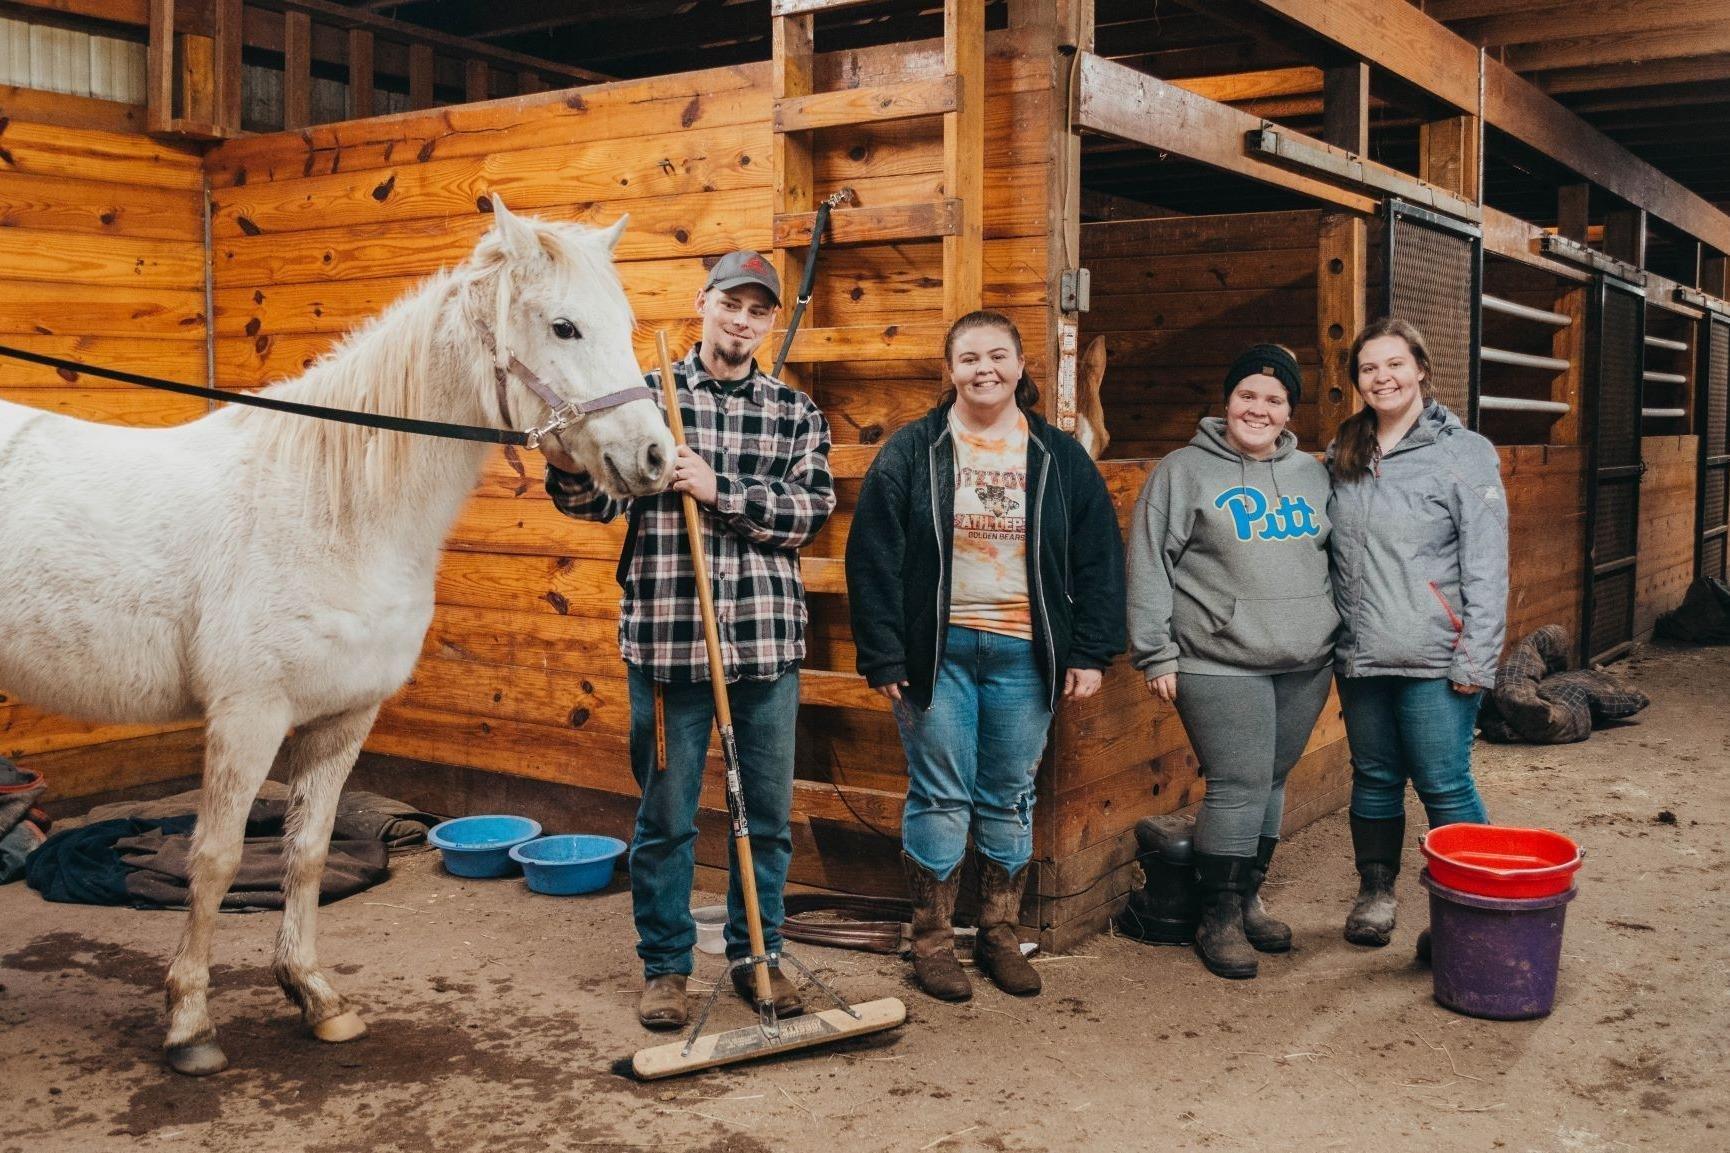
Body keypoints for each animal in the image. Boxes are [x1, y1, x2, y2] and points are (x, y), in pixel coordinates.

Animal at [0, 197, 671, 1066]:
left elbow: (307, 852)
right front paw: (190, 1024)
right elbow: (214, 859)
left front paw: (315, 997)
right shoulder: (248, 716)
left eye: (624, 323)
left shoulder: (344, 717)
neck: (331, 505)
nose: (656, 456)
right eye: (564, 327)